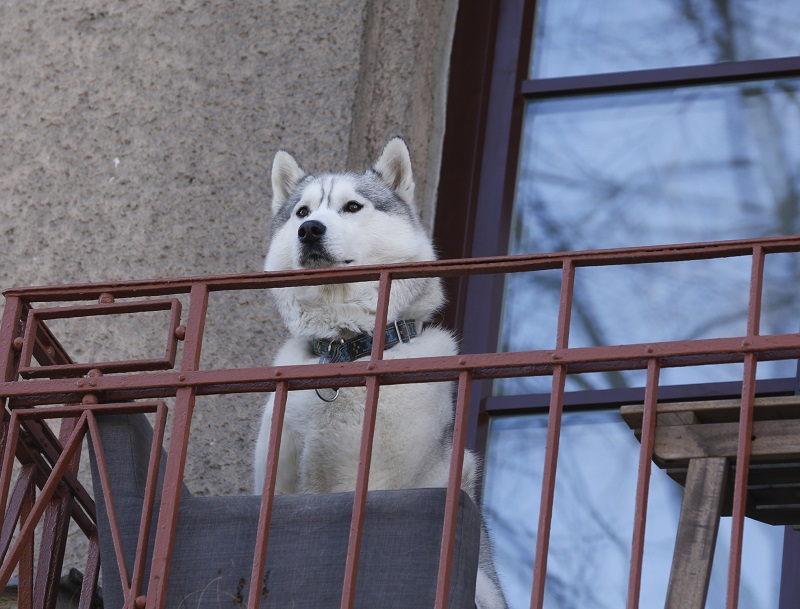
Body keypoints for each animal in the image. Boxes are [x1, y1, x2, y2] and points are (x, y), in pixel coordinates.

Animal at [256, 138, 506, 608]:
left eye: (352, 206)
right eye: (302, 211)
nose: (310, 230)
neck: (346, 354)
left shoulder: (385, 483)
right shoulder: (279, 487)